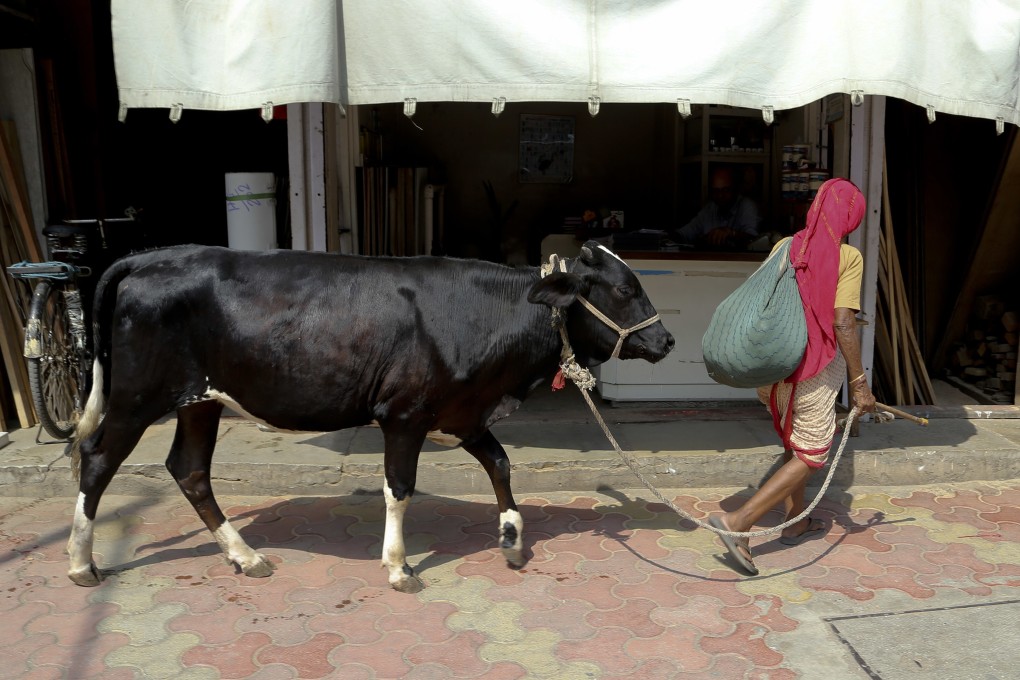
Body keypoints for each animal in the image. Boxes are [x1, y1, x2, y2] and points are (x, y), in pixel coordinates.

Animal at [67, 241, 674, 593]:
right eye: (626, 288)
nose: (667, 341)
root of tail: (151, 256)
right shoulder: (404, 413)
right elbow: (399, 488)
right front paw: (399, 566)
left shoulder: (461, 412)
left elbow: (500, 463)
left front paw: (512, 537)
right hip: (138, 395)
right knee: (96, 458)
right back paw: (80, 563)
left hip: (202, 399)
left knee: (189, 470)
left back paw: (247, 557)